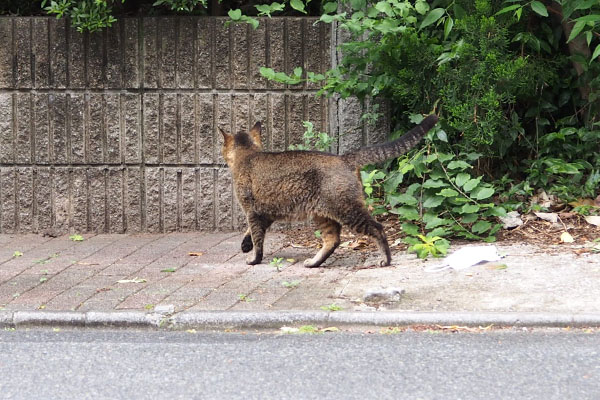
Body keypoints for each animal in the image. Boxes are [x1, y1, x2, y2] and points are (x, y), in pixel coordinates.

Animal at [220, 114, 436, 268]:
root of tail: (344, 158)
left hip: (347, 210)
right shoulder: (266, 213)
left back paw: (386, 260)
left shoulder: (252, 211)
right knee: (333, 240)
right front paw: (245, 244)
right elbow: (251, 232)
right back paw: (314, 262)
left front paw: (254, 258)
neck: (248, 155)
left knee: (377, 228)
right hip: (323, 215)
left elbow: (257, 238)